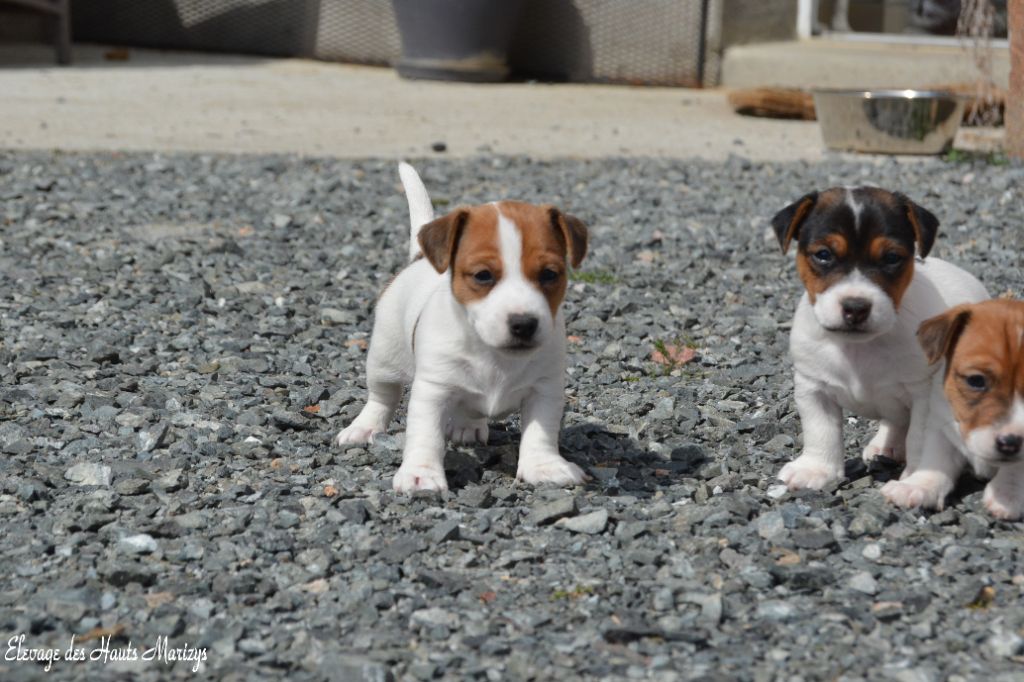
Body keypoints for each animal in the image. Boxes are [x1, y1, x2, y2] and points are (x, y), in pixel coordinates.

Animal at [335, 163, 588, 493]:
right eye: (483, 275)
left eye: (549, 274)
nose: (524, 323)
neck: (493, 354)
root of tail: (419, 259)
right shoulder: (433, 390)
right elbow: (426, 434)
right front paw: (421, 474)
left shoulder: (545, 388)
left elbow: (540, 431)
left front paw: (544, 467)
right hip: (383, 359)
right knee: (382, 397)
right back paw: (364, 427)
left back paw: (468, 425)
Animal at [771, 186, 988, 491]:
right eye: (823, 254)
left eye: (891, 258)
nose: (855, 307)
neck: (860, 347)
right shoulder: (813, 386)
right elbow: (820, 431)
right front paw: (816, 469)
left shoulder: (924, 394)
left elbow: (919, 438)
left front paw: (916, 477)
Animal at [882, 299, 1024, 519]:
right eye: (976, 380)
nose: (1010, 443)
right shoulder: (941, 426)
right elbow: (935, 460)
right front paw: (918, 486)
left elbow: (1017, 469)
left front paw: (1007, 494)